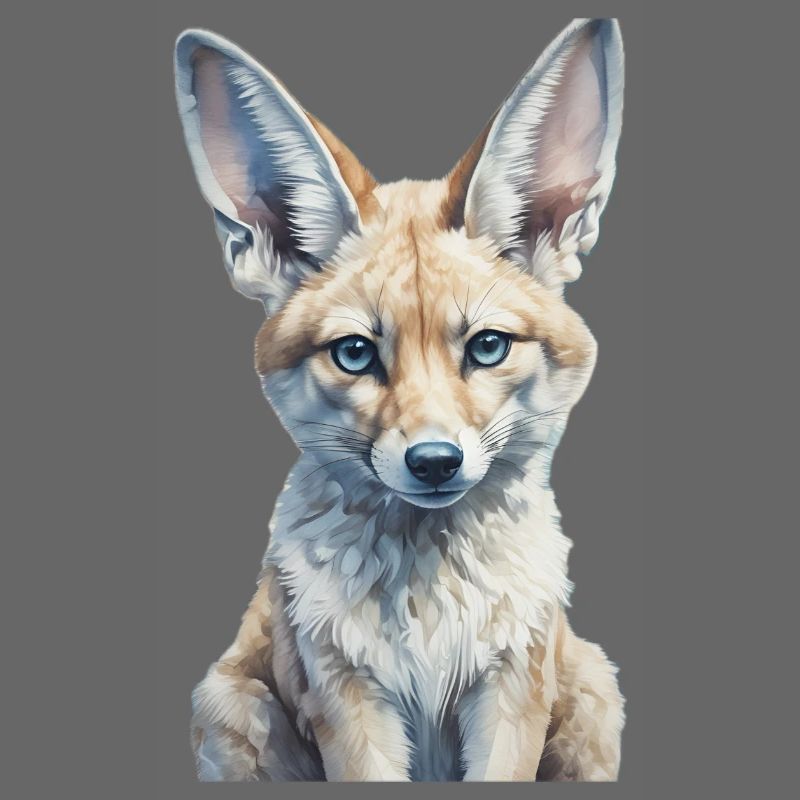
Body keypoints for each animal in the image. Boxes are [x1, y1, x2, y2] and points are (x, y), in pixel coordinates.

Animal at [174, 17, 626, 782]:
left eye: (487, 346)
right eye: (356, 353)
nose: (435, 461)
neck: (430, 608)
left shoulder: (512, 690)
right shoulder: (347, 699)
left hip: (595, 693)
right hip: (229, 708)